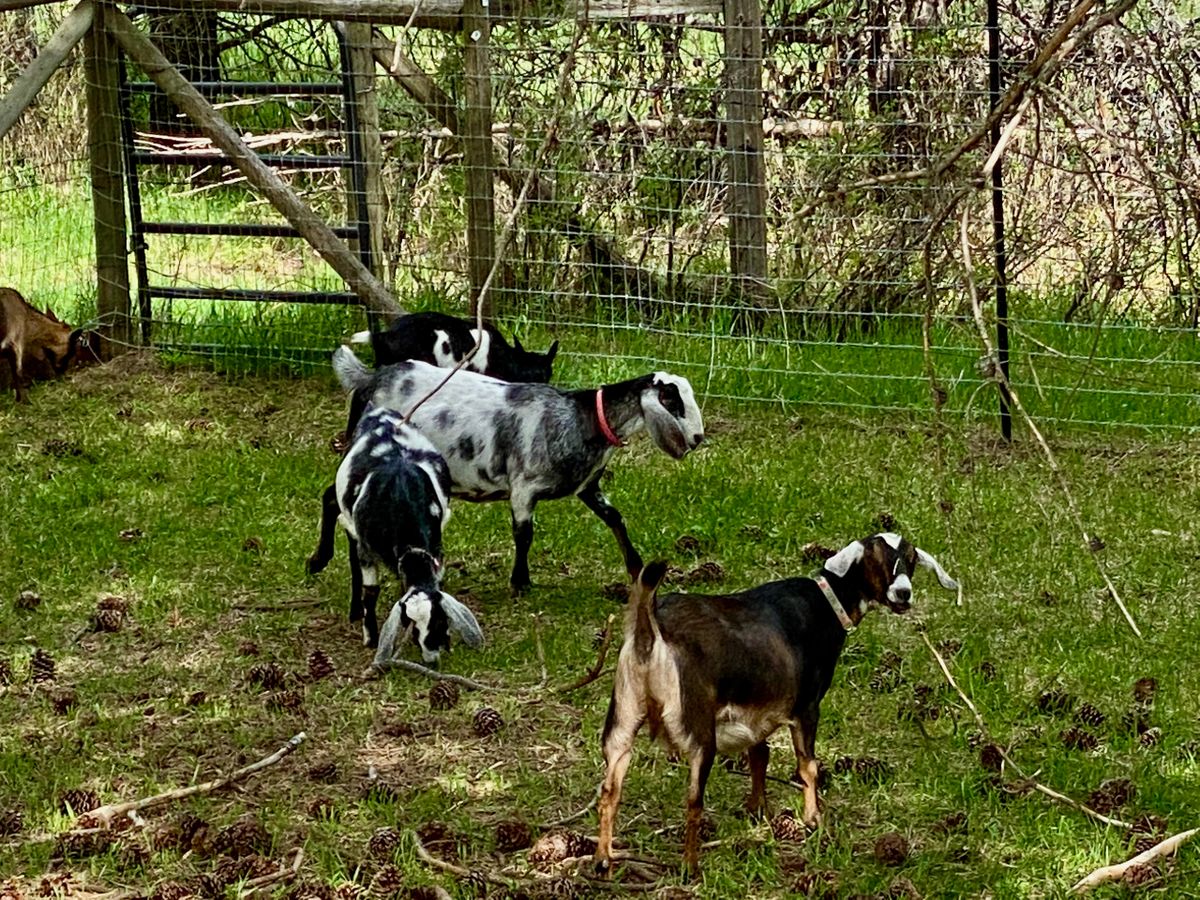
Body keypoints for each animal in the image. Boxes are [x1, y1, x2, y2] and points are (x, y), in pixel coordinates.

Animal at [319, 347, 704, 595]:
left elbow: (615, 518)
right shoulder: (523, 487)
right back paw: (319, 561)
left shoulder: (587, 487)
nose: (698, 438)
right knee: (331, 498)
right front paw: (520, 583)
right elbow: (524, 534)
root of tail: (371, 378)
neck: (579, 419)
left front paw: (636, 567)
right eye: (672, 400)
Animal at [334, 405, 483, 658]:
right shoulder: (366, 549)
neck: (400, 497)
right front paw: (370, 636)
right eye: (411, 622)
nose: (431, 654)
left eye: (439, 620)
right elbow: (371, 591)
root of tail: (380, 411)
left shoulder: (437, 550)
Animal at [594, 534, 959, 876]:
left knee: (610, 790)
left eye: (910, 559)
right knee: (693, 799)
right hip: (697, 729)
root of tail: (650, 632)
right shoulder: (807, 706)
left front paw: (758, 811)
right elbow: (807, 766)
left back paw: (603, 859)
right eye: (875, 559)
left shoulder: (758, 711)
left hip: (622, 717)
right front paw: (813, 819)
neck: (826, 603)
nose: (903, 593)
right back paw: (690, 866)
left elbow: (760, 755)